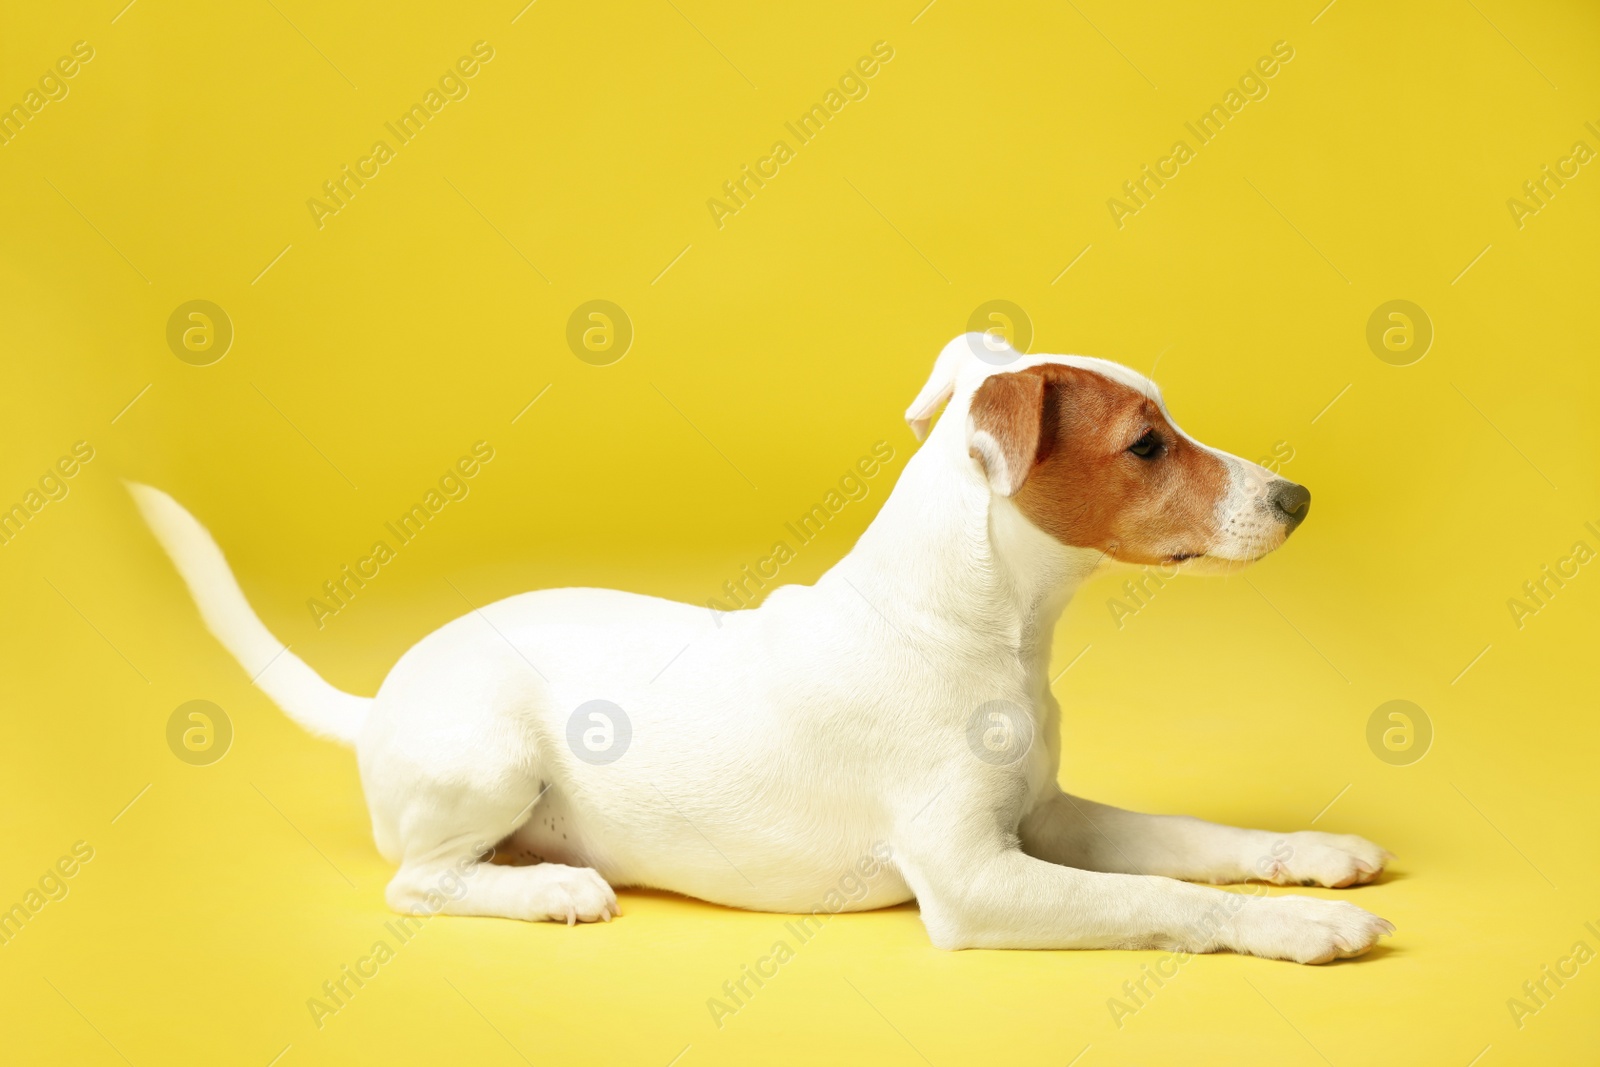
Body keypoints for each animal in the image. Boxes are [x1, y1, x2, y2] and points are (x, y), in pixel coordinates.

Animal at [134, 335, 1388, 966]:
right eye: (1146, 445)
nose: (1296, 497)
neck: (972, 624)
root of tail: (381, 696)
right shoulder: (976, 880)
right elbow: (1167, 897)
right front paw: (1299, 926)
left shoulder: (1047, 816)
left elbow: (1195, 840)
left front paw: (1311, 856)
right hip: (489, 757)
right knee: (418, 881)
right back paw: (550, 886)